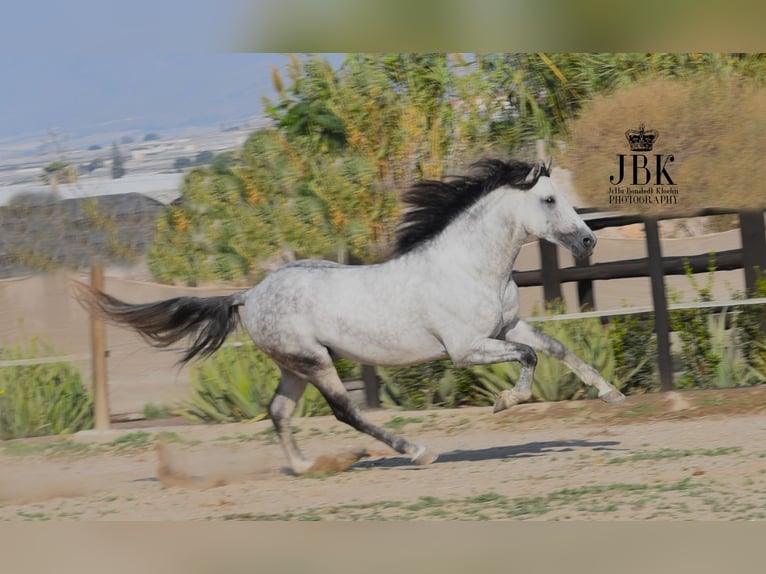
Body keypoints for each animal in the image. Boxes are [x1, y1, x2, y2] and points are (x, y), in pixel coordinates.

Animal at [76, 159, 624, 476]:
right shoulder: (467, 349)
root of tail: (249, 294)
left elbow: (556, 348)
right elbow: (530, 358)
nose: (588, 241)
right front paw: (505, 402)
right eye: (549, 199)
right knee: (346, 411)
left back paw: (304, 466)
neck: (468, 266)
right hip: (315, 362)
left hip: (294, 366)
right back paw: (416, 451)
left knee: (278, 411)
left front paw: (611, 394)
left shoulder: (504, 328)